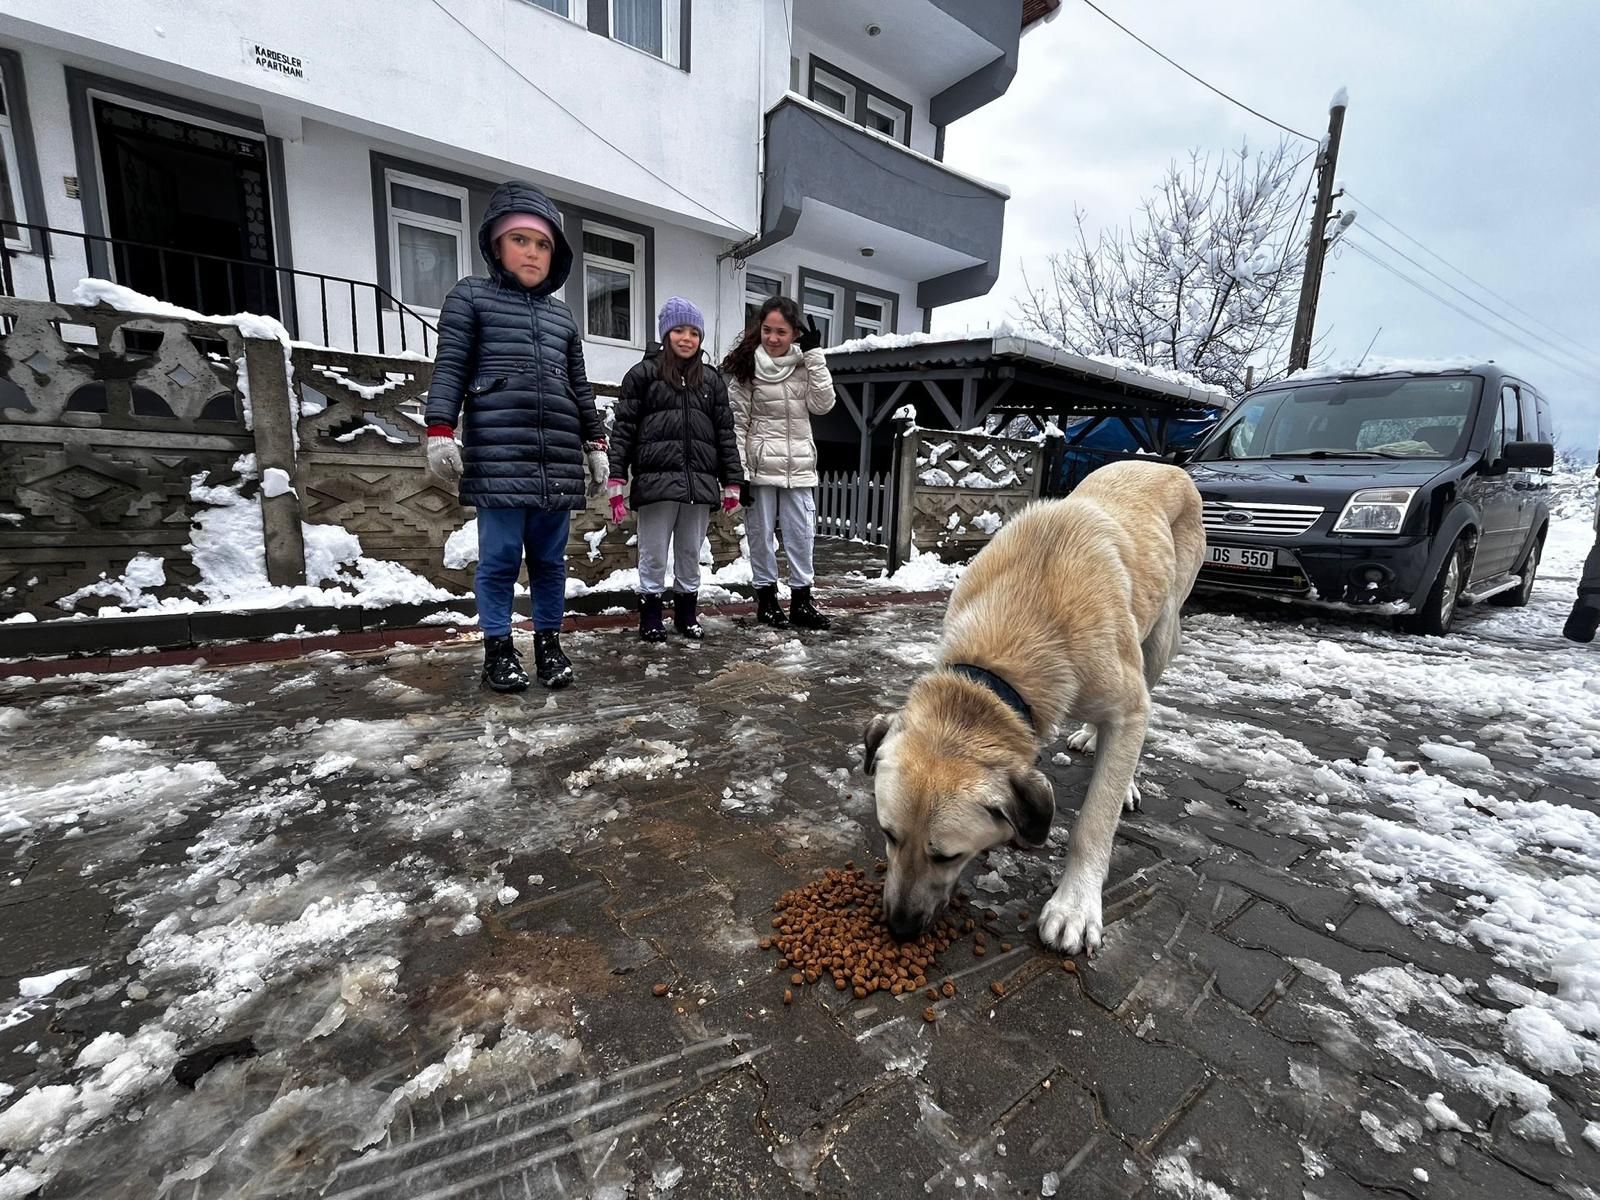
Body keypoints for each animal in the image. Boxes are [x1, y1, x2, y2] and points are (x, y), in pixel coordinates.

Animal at [864, 460, 1203, 960]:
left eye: (947, 855)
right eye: (889, 835)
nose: (899, 928)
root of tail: (1166, 465)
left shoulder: (1128, 704)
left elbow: (1094, 823)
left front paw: (1075, 906)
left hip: (1160, 636)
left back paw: (1123, 779)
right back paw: (1090, 735)